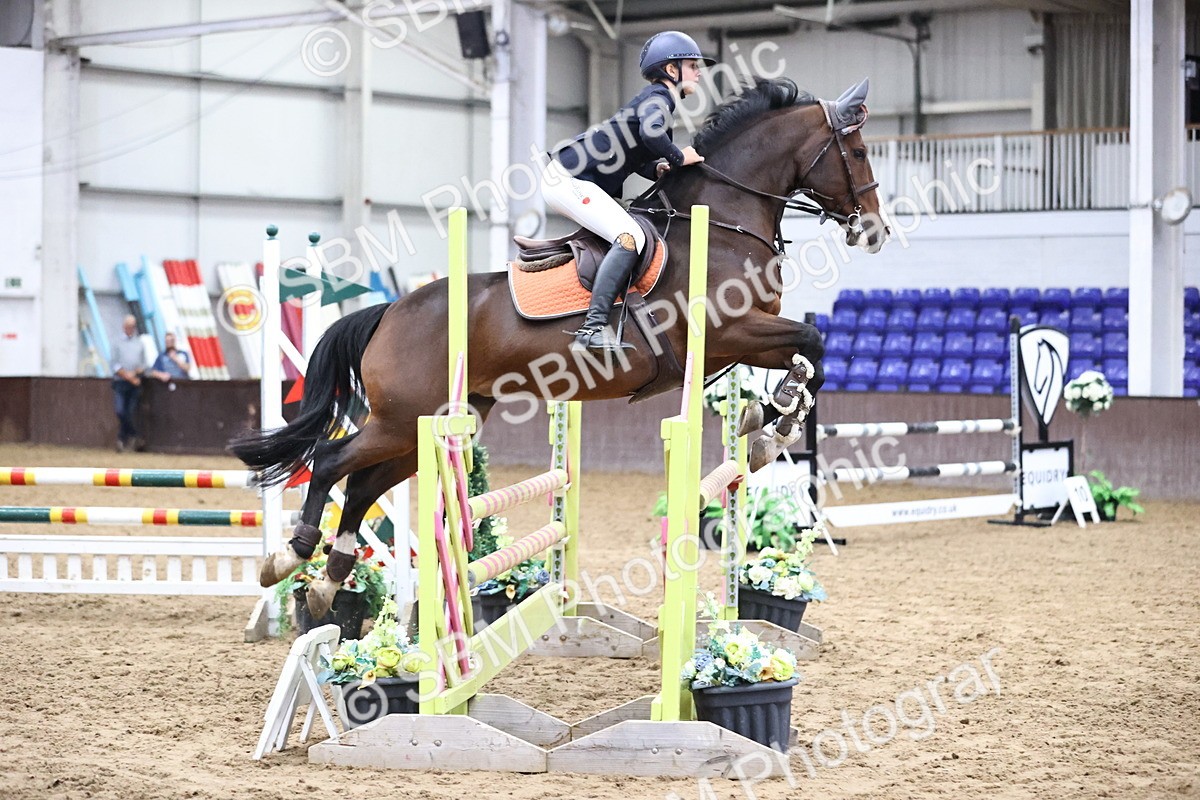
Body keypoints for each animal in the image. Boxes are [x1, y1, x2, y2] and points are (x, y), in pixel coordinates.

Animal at [231, 76, 888, 618]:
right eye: (857, 152)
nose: (875, 231)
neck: (724, 220)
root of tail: (390, 311)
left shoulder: (744, 341)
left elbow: (809, 357)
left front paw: (767, 421)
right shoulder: (730, 332)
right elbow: (813, 342)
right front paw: (772, 427)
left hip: (432, 421)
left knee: (365, 483)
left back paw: (326, 580)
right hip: (403, 419)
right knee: (332, 461)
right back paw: (290, 558)